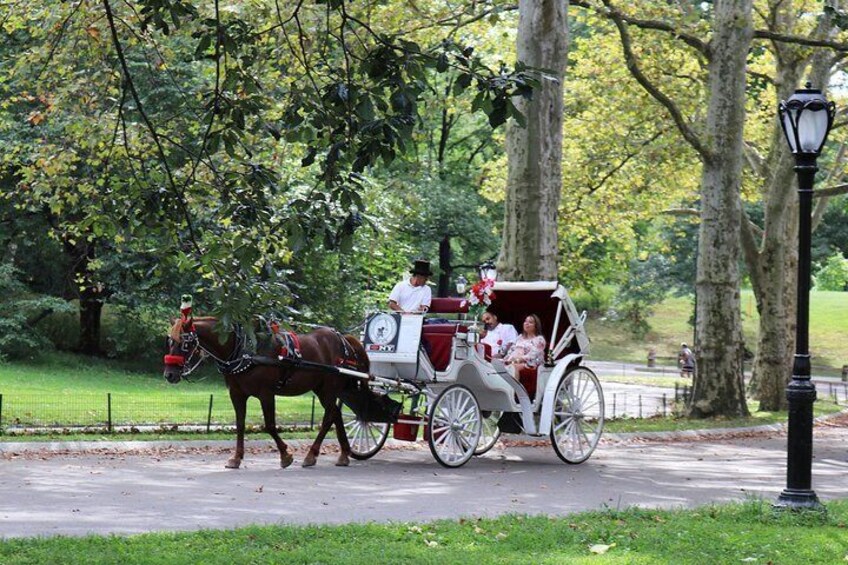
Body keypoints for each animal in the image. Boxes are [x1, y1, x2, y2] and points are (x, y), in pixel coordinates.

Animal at [162, 306, 368, 470]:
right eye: (170, 341)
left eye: (185, 343)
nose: (169, 375)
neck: (243, 350)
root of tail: (344, 340)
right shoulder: (237, 394)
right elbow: (240, 424)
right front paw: (236, 458)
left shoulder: (266, 393)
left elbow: (269, 425)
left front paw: (285, 455)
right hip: (322, 389)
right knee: (336, 414)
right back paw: (343, 454)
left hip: (328, 389)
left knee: (329, 418)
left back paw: (312, 455)